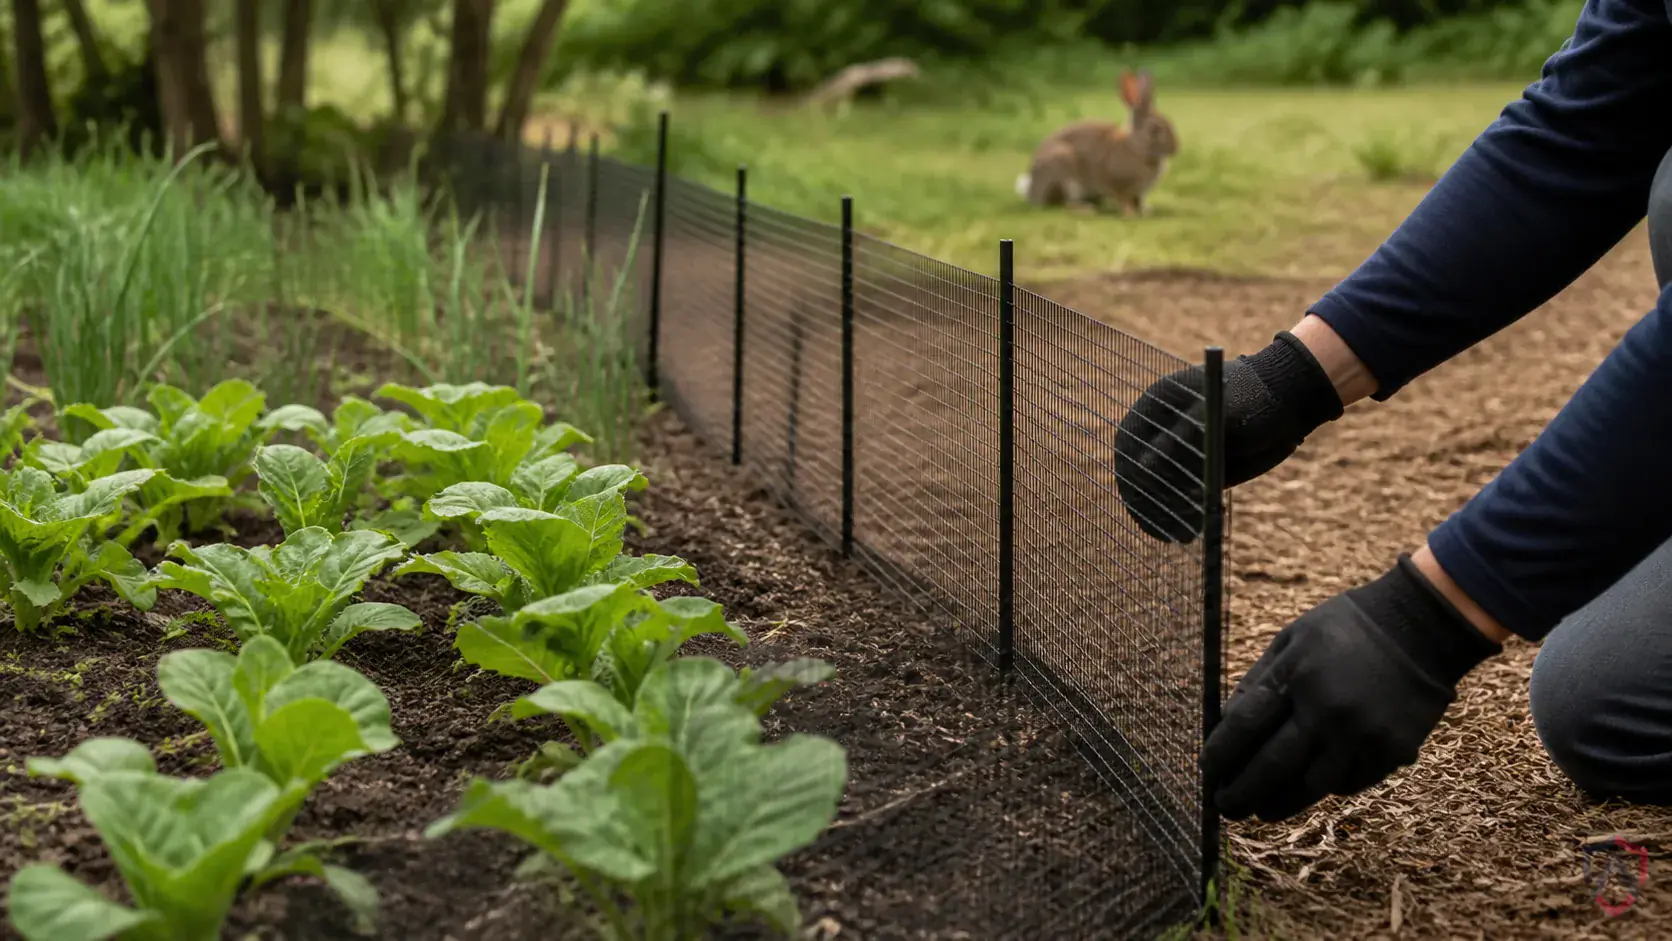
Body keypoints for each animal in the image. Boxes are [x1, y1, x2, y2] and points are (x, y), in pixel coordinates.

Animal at [1014, 69, 1178, 216]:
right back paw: (1085, 209)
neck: (1136, 147)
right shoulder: (1116, 183)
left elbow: (1138, 201)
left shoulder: (1138, 193)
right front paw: (1129, 214)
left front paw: (1146, 211)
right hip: (1065, 174)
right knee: (1063, 205)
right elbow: (1122, 199)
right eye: (1154, 129)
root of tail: (1032, 191)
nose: (1175, 148)